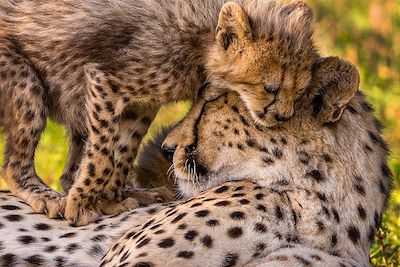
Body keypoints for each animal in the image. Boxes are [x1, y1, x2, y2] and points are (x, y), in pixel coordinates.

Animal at [0, 0, 324, 226]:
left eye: (299, 91)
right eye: (271, 88)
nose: (281, 117)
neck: (202, 38)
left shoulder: (140, 105)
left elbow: (123, 148)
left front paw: (115, 199)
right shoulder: (106, 82)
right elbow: (103, 155)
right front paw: (81, 206)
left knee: (68, 170)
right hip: (24, 83)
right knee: (13, 167)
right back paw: (45, 196)